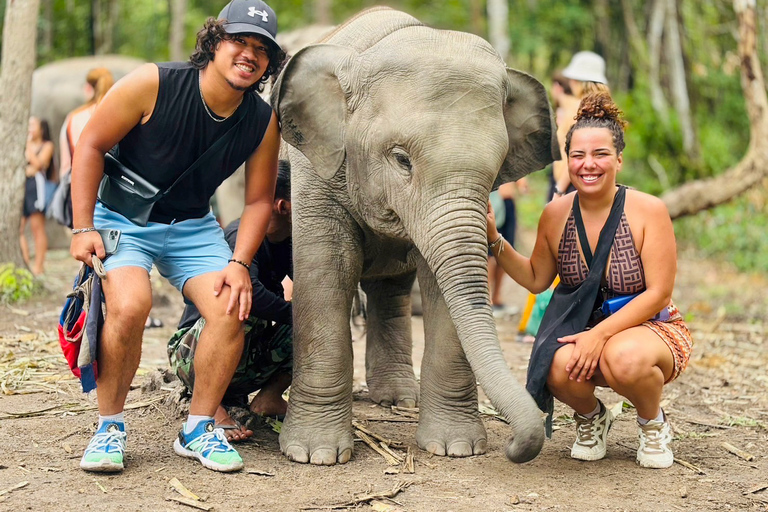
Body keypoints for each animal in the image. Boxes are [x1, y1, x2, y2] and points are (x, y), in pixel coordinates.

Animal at [274, 7, 560, 464]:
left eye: (498, 168)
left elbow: (443, 280)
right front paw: (313, 455)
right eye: (401, 159)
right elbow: (326, 270)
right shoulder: (315, 167)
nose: (515, 446)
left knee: (391, 290)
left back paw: (398, 400)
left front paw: (457, 448)